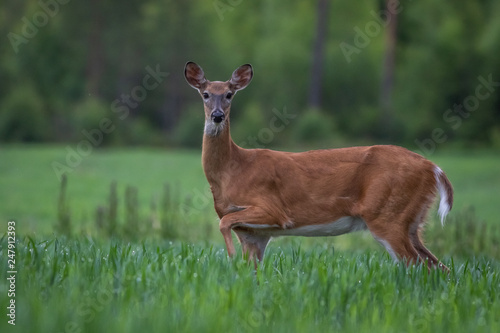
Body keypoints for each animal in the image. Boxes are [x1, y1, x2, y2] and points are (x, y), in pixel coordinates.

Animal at [186, 61, 456, 270]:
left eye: (229, 94)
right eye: (205, 94)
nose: (217, 116)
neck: (232, 170)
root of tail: (433, 168)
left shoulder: (274, 210)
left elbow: (223, 223)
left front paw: (229, 256)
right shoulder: (254, 234)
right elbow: (250, 268)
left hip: (387, 215)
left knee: (416, 264)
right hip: (411, 221)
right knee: (439, 266)